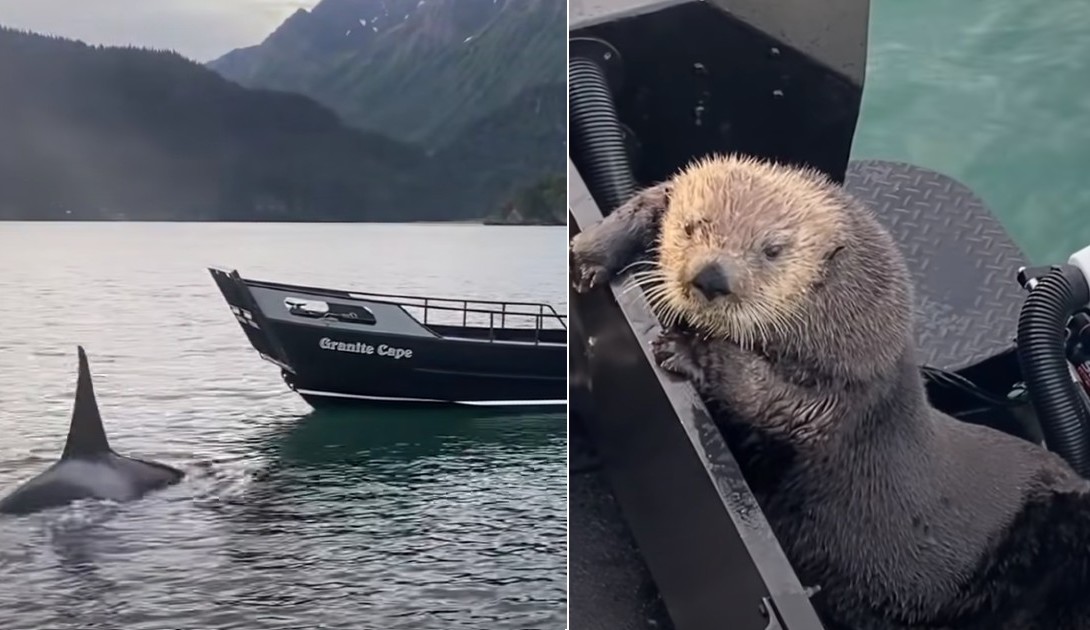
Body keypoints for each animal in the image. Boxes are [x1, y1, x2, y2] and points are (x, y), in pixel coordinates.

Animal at [571, 154, 1090, 629]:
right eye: (693, 226)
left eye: (773, 250)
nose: (711, 277)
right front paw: (591, 255)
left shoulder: (844, 391)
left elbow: (774, 399)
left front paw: (687, 349)